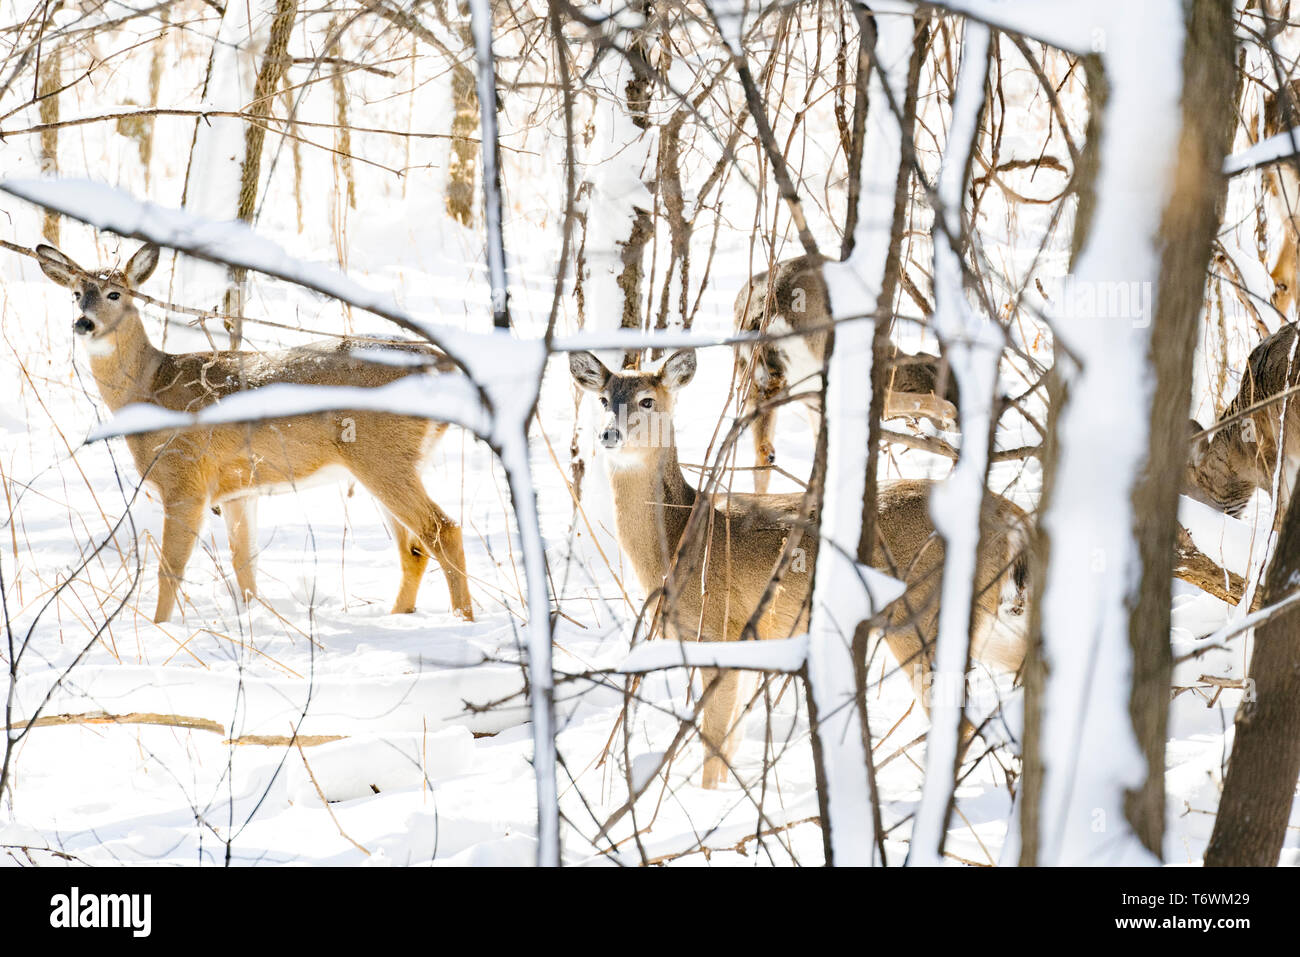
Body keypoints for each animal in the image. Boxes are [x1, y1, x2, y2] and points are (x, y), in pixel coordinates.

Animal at [36, 241, 474, 624]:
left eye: (115, 293)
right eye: (76, 294)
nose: (84, 323)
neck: (149, 388)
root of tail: (442, 365)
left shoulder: (184, 479)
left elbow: (170, 568)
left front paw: (158, 628)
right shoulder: (238, 490)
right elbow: (244, 564)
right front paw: (251, 619)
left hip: (380, 456)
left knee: (442, 530)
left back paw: (462, 620)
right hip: (392, 462)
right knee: (413, 548)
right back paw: (399, 616)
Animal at [570, 347, 1029, 789]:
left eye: (647, 400)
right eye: (603, 399)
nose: (608, 433)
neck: (681, 538)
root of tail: (1010, 514)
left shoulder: (720, 630)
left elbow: (714, 742)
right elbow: (731, 740)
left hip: (921, 614)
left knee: (959, 718)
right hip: (981, 616)